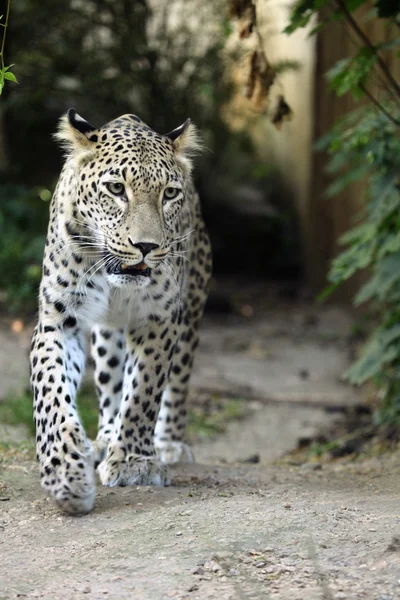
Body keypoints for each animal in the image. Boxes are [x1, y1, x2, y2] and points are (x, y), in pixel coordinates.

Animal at [30, 109, 212, 516]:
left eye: (169, 194)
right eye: (116, 189)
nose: (146, 246)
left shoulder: (160, 318)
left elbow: (144, 389)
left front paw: (133, 461)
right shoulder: (58, 320)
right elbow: (51, 392)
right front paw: (64, 471)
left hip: (192, 306)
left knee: (176, 382)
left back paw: (168, 443)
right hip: (106, 336)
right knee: (111, 381)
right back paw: (104, 438)